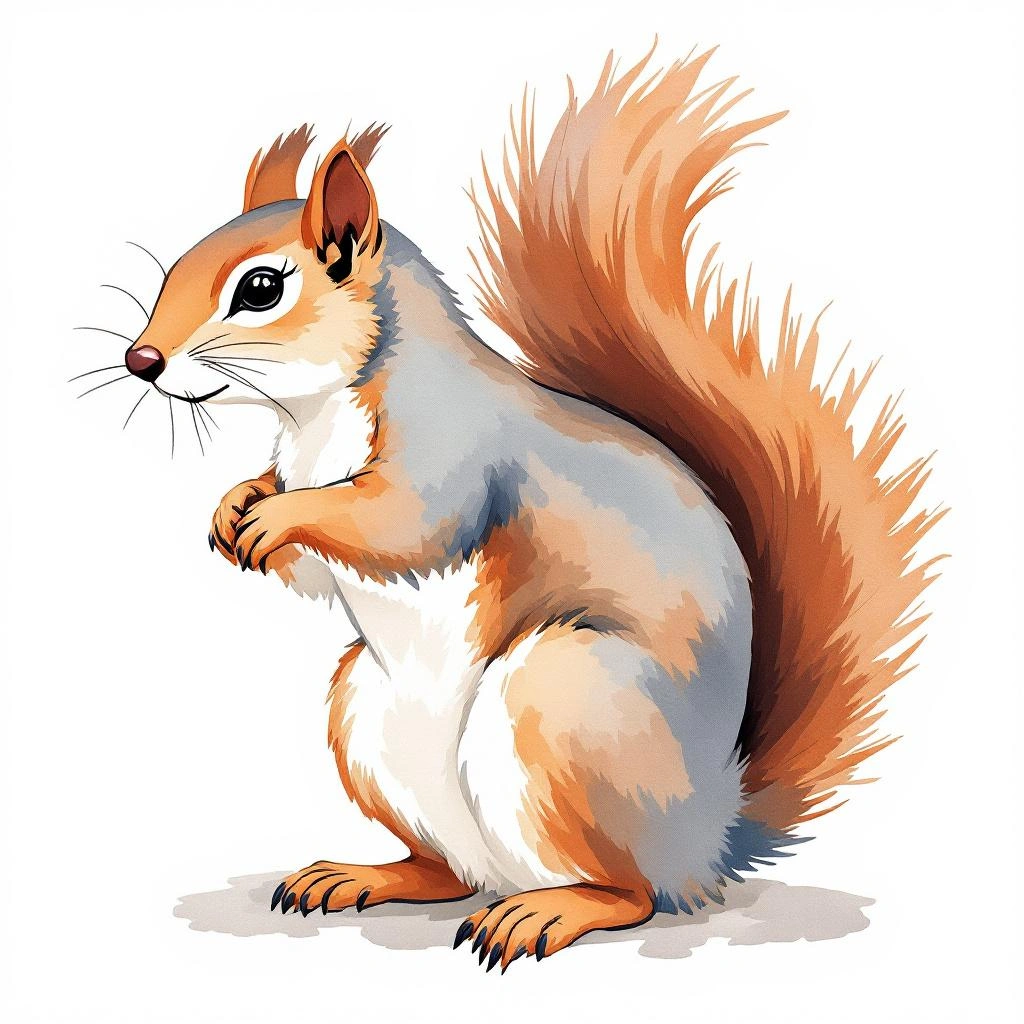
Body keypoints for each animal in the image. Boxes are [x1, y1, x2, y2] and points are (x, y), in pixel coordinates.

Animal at [117, 49, 940, 970]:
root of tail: (708, 838)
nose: (141, 359)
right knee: (446, 871)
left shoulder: (452, 452)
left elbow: (402, 524)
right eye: (172, 269)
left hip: (567, 701)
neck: (315, 416)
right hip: (366, 714)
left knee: (630, 893)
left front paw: (279, 516)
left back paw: (548, 913)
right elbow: (307, 560)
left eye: (260, 288)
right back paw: (367, 876)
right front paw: (241, 501)